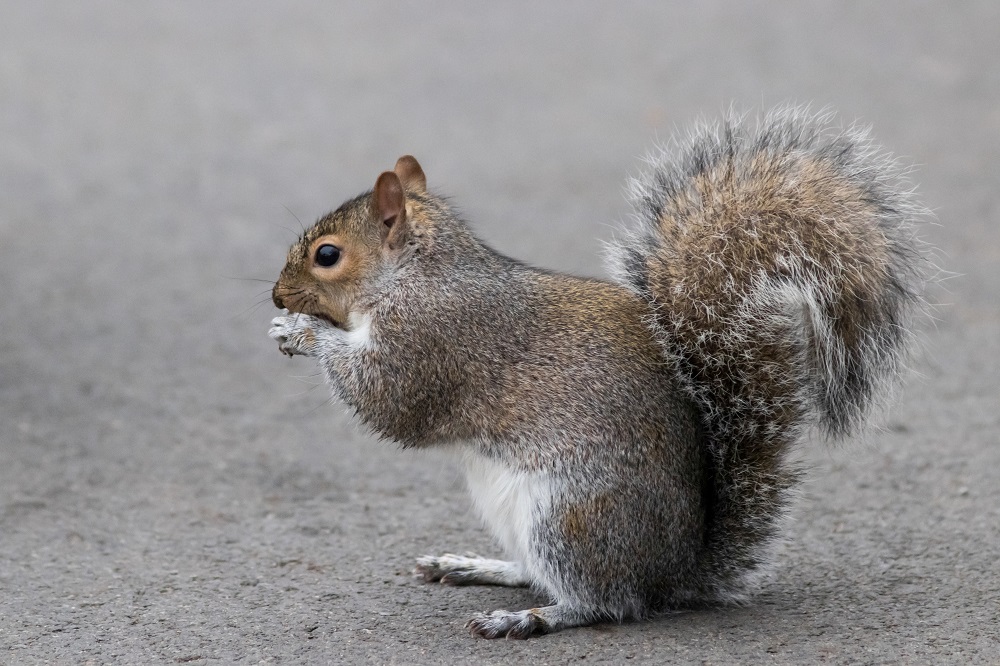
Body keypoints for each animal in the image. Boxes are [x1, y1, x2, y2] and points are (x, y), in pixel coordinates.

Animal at [268, 106, 930, 639]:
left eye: (327, 255)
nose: (276, 296)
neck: (420, 273)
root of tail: (673, 574)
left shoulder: (432, 341)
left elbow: (386, 400)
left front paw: (303, 333)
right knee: (539, 572)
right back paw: (480, 566)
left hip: (571, 514)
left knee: (605, 602)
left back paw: (531, 618)